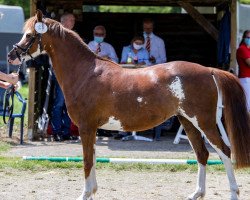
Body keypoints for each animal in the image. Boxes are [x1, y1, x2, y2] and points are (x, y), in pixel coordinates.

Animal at [7, 10, 250, 200]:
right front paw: (92, 192)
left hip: (205, 122)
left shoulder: (86, 127)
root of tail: (209, 70)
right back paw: (196, 194)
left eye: (30, 35)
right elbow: (92, 158)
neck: (86, 72)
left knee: (224, 151)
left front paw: (85, 194)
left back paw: (233, 193)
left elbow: (86, 161)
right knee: (202, 154)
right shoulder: (92, 129)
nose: (11, 56)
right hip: (188, 122)